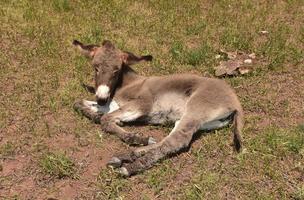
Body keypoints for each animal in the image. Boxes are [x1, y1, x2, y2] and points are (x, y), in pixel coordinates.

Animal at [72, 39, 243, 177]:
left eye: (116, 70)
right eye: (95, 67)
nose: (101, 98)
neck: (129, 83)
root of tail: (235, 102)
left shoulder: (142, 104)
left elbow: (106, 119)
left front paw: (133, 137)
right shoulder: (113, 104)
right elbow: (79, 103)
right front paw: (98, 116)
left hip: (195, 110)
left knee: (176, 142)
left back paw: (131, 166)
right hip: (201, 122)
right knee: (168, 140)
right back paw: (126, 156)